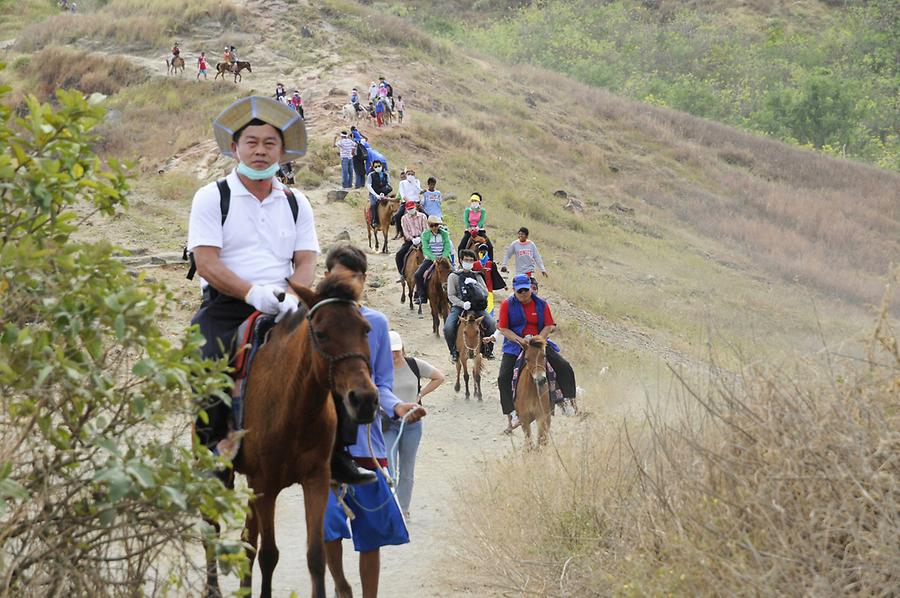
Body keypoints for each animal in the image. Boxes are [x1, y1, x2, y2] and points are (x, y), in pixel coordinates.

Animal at [205, 276, 380, 598]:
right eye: (321, 334)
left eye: (365, 329)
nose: (363, 400)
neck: (296, 407)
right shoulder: (266, 485)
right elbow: (269, 554)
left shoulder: (316, 479)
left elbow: (316, 555)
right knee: (212, 529)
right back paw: (212, 589)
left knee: (248, 540)